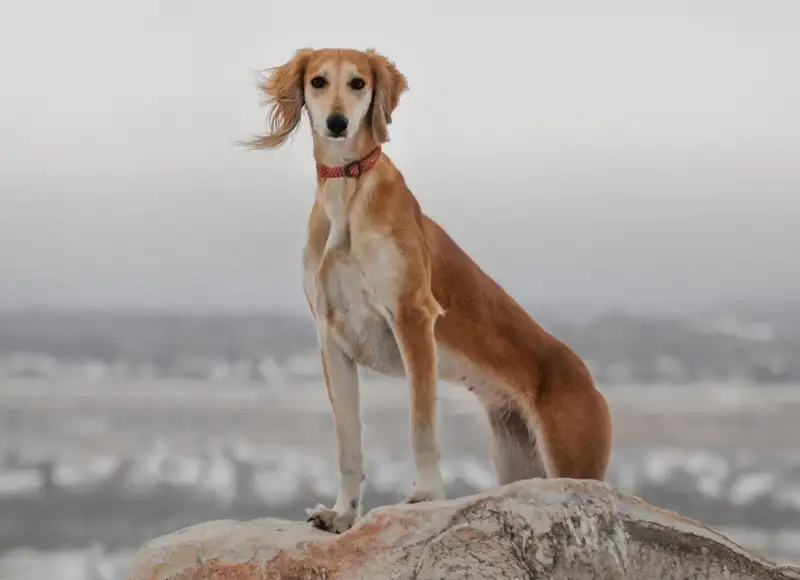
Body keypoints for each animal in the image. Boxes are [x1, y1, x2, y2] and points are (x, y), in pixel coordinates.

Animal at [245, 47, 612, 532]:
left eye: (358, 82)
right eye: (318, 81)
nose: (338, 123)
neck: (348, 189)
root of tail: (586, 374)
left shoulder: (412, 317)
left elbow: (421, 427)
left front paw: (424, 496)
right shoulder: (331, 337)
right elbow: (348, 443)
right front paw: (342, 514)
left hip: (574, 461)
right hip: (519, 462)